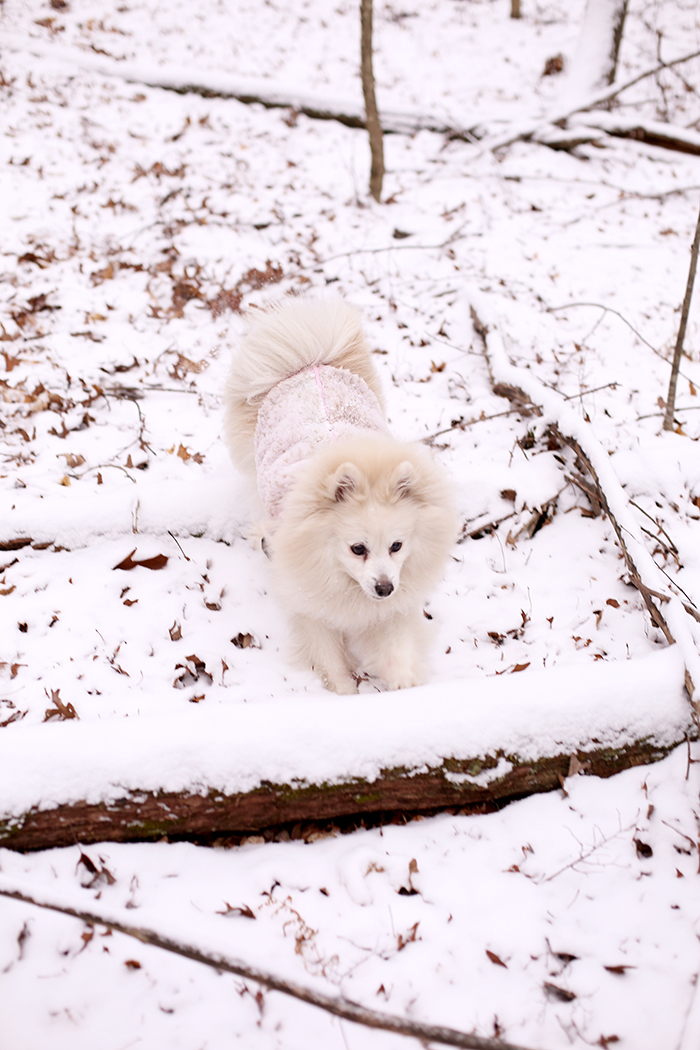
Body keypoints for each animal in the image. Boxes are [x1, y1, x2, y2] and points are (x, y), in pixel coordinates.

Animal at [221, 300, 457, 692]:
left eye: (397, 546)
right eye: (357, 549)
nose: (384, 587)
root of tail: (310, 365)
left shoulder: (393, 608)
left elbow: (398, 650)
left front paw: (404, 688)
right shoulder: (312, 608)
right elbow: (330, 661)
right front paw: (345, 694)